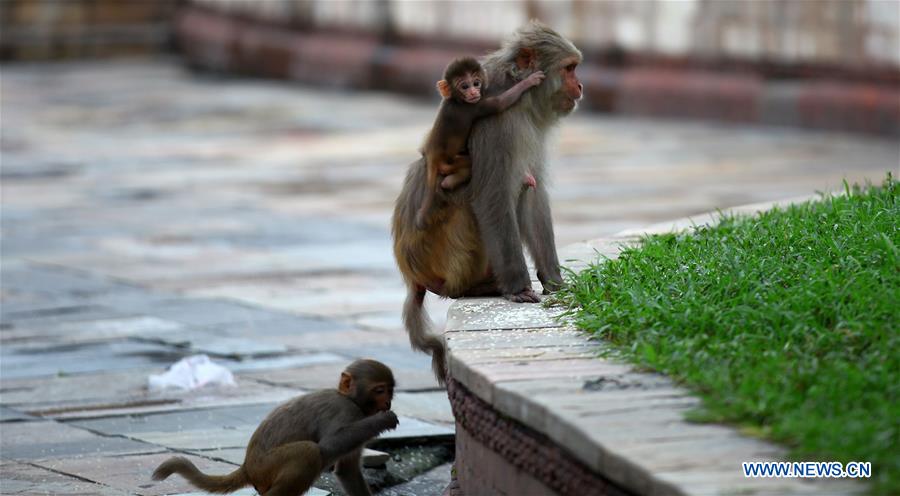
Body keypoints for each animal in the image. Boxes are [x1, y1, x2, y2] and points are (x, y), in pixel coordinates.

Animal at [152, 360, 398, 496]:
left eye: (390, 390)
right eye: (379, 391)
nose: (387, 403)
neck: (350, 398)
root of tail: (247, 467)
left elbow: (347, 471)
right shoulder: (345, 411)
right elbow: (329, 445)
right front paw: (383, 421)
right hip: (267, 466)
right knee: (309, 452)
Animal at [416, 56, 548, 229]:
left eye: (476, 83)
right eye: (464, 86)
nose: (473, 92)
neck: (455, 100)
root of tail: (433, 156)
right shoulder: (475, 106)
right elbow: (500, 103)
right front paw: (529, 81)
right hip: (451, 163)